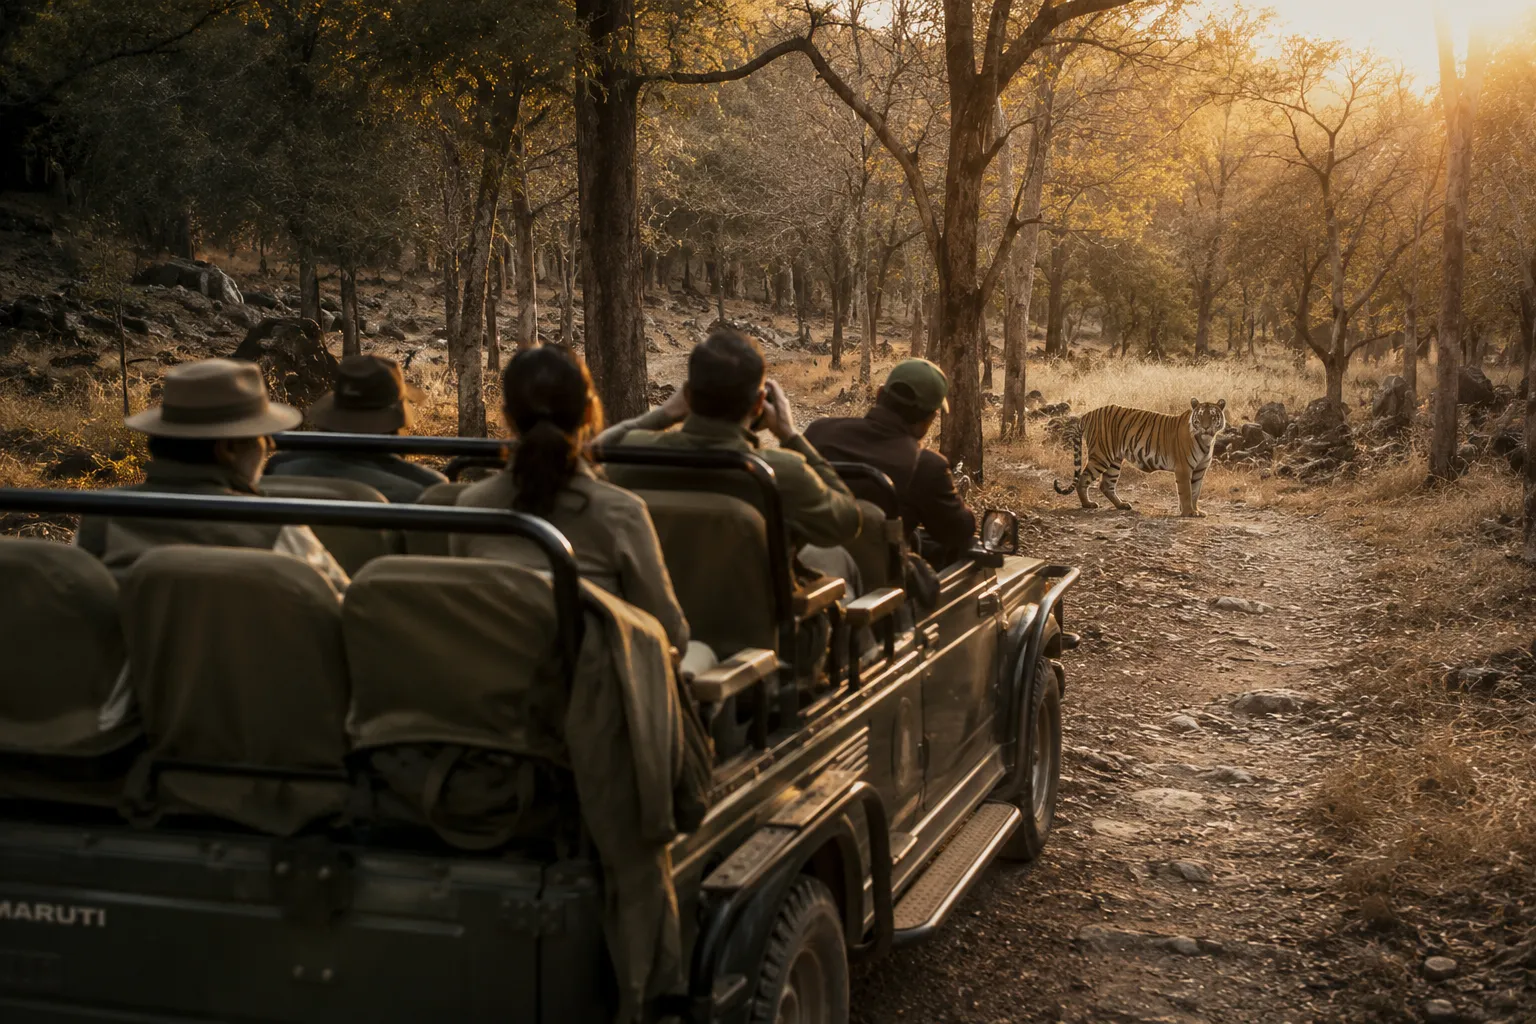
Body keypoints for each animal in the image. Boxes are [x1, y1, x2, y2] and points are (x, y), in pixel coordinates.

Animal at [1053, 398, 1227, 517]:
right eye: (1201, 416)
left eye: (1213, 416)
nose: (1205, 427)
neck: (1207, 440)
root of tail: (1088, 414)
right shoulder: (1183, 469)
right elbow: (1186, 491)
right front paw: (1188, 512)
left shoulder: (1199, 470)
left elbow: (1195, 492)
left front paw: (1196, 510)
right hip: (1101, 456)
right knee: (1083, 478)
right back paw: (1087, 504)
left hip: (1114, 460)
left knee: (1106, 484)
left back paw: (1122, 505)